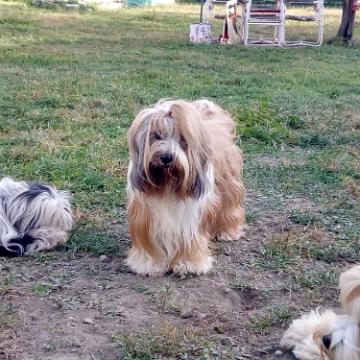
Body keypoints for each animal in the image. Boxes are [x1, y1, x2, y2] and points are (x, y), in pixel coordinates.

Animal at [125, 98, 246, 276]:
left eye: (183, 138)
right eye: (157, 135)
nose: (166, 157)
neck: (167, 184)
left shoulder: (191, 216)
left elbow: (190, 240)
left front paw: (188, 263)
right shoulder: (145, 214)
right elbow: (149, 241)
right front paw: (149, 263)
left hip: (228, 183)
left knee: (230, 205)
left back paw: (228, 231)